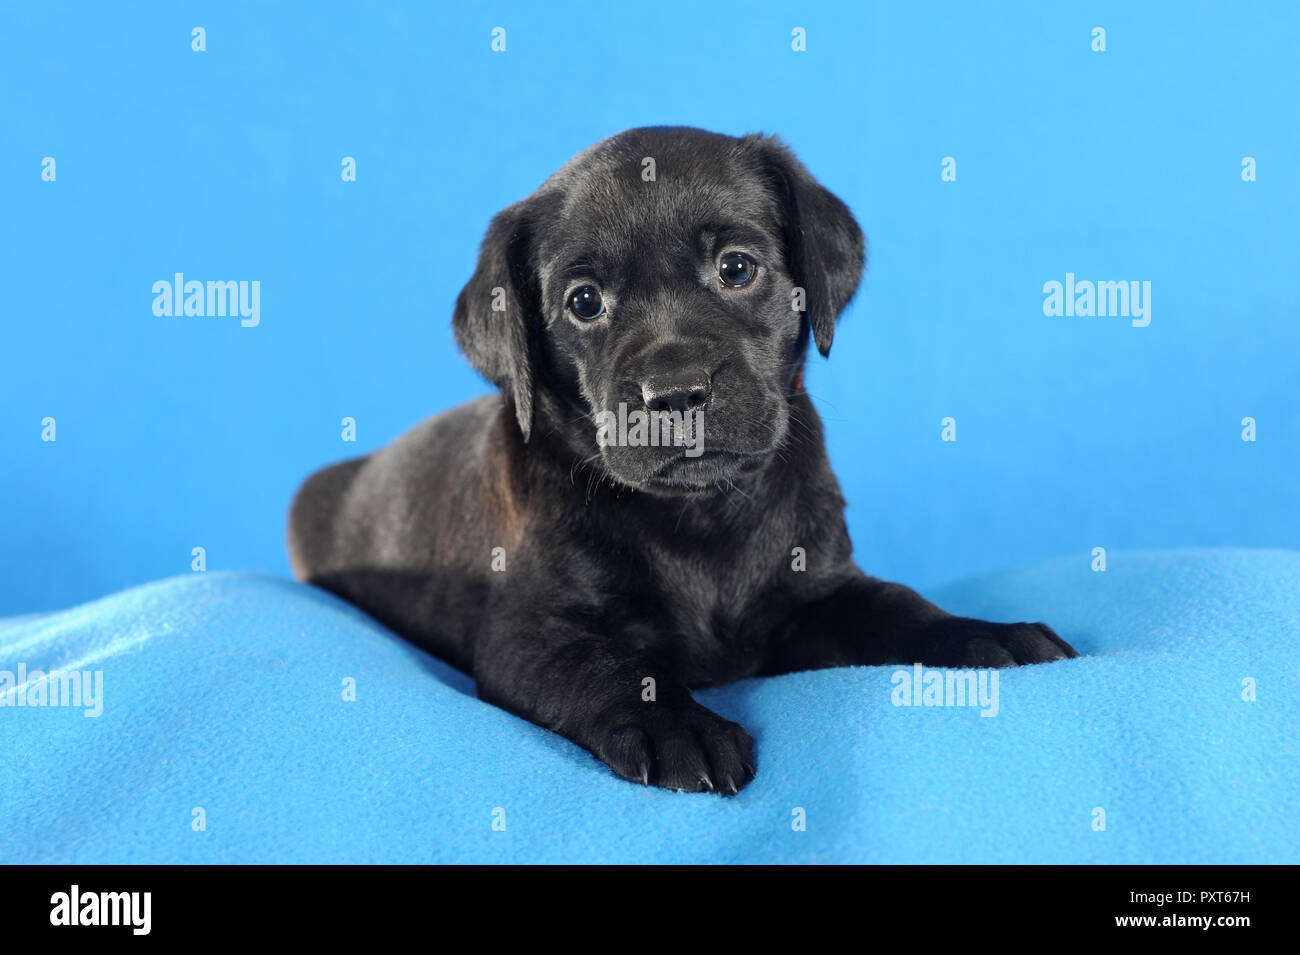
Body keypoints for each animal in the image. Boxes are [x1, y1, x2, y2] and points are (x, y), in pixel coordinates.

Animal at [292, 128, 1076, 800]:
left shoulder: (816, 591)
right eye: (584, 302)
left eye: (736, 268)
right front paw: (679, 728)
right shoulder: (530, 633)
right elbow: (611, 667)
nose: (676, 390)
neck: (702, 512)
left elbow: (896, 605)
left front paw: (983, 633)